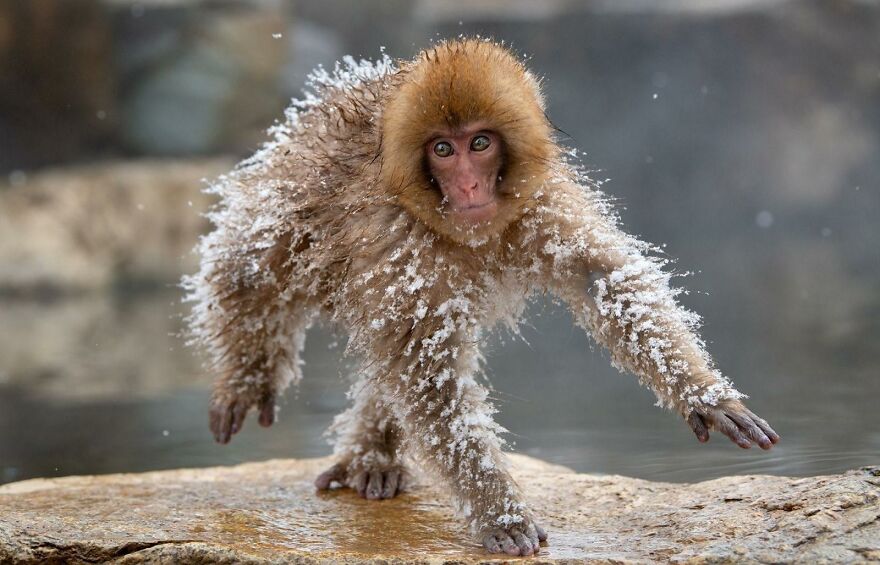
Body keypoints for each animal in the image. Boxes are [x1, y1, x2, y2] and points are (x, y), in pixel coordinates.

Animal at [184, 39, 779, 557]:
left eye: (480, 144)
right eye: (443, 150)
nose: (469, 186)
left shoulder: (540, 204)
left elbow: (604, 282)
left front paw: (705, 395)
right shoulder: (400, 239)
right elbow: (425, 372)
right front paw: (500, 512)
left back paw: (373, 453)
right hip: (289, 185)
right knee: (250, 267)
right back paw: (253, 374)